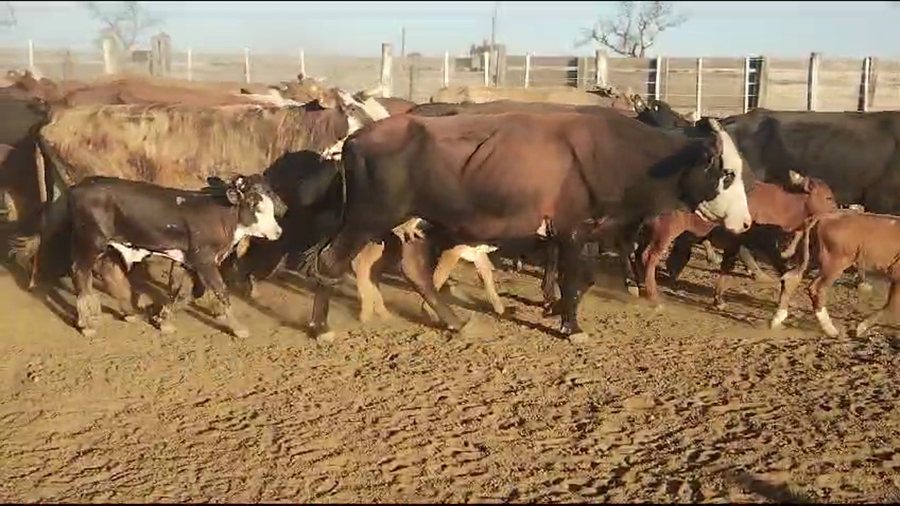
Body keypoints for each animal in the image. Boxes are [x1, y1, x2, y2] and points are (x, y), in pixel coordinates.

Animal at [17, 174, 284, 338]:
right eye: (255, 205)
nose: (278, 232)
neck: (223, 216)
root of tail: (77, 186)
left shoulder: (190, 261)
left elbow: (183, 293)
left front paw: (164, 321)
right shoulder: (204, 260)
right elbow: (221, 292)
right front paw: (239, 328)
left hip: (106, 246)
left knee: (109, 273)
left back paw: (128, 313)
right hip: (90, 241)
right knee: (80, 273)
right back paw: (87, 324)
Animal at [298, 110, 753, 342]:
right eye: (728, 173)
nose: (746, 222)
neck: (612, 151)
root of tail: (355, 139)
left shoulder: (582, 233)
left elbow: (581, 280)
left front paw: (560, 312)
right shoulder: (572, 230)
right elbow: (572, 281)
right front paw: (572, 327)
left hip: (410, 222)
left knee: (413, 269)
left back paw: (454, 320)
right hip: (367, 217)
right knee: (330, 262)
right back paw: (320, 327)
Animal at [637, 171, 837, 308]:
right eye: (828, 197)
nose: (837, 211)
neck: (784, 203)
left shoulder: (734, 244)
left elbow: (727, 268)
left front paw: (718, 299)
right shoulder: (766, 244)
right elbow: (781, 267)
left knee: (640, 253)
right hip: (666, 231)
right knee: (650, 257)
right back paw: (653, 295)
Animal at [772, 209, 900, 338]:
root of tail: (824, 215)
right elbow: (891, 305)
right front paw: (860, 328)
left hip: (811, 259)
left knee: (790, 279)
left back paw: (777, 319)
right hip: (835, 263)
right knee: (817, 288)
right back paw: (830, 329)